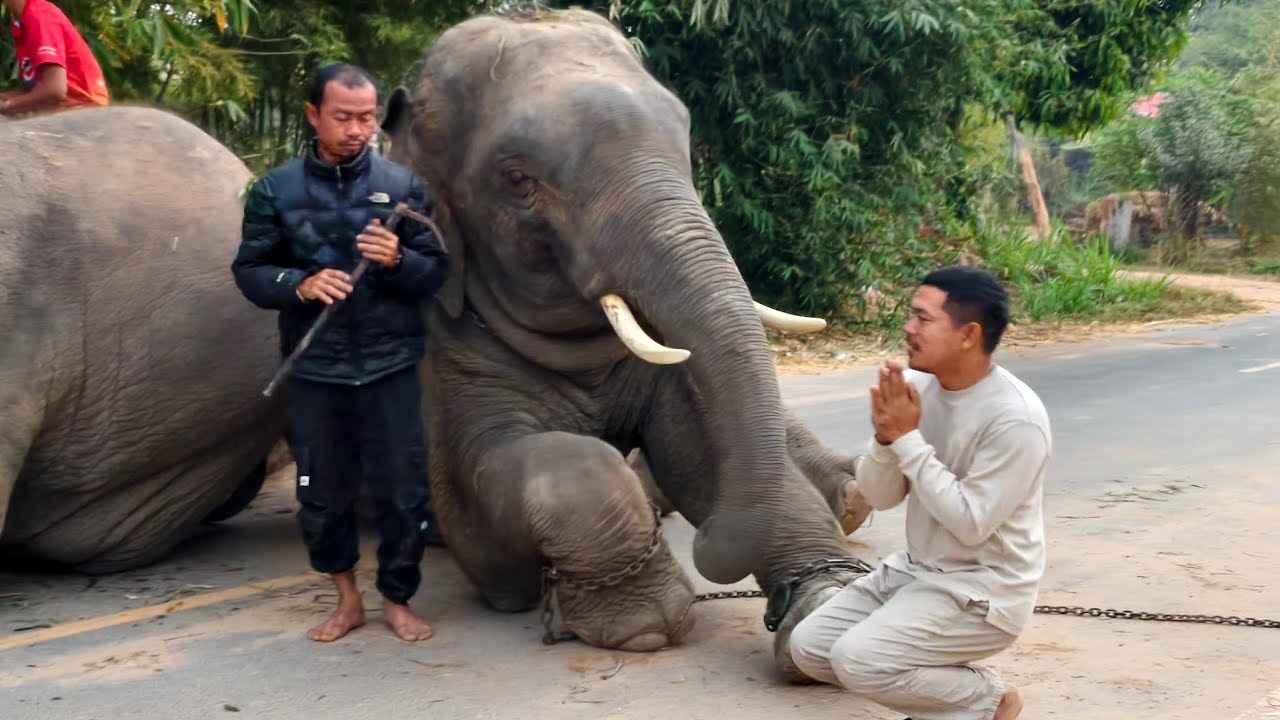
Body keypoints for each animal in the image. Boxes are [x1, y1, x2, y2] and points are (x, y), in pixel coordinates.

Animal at [381, 8, 872, 676]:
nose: (708, 538)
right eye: (517, 178)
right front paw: (643, 621)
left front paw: (828, 610)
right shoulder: (447, 348)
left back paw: (851, 496)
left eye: (685, 140)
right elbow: (513, 486)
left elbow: (699, 446)